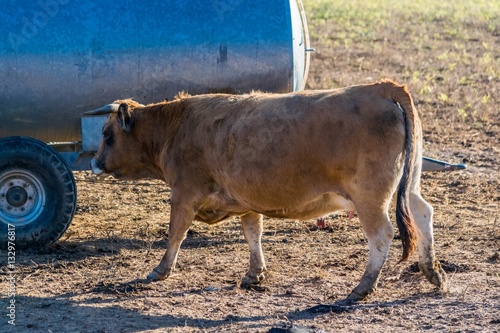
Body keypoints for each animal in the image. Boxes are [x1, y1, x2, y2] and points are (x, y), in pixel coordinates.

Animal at [86, 80, 450, 298]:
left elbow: (176, 233)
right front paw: (254, 274)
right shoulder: (246, 200)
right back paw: (433, 273)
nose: (94, 162)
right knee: (422, 213)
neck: (178, 125)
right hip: (409, 182)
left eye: (107, 135)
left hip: (369, 197)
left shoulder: (184, 194)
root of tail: (380, 88)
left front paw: (160, 270)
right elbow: (253, 233)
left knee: (382, 234)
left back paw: (363, 286)